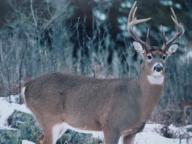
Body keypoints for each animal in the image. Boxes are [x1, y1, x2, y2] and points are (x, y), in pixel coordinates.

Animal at [22, 2, 184, 144]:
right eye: (148, 56)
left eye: (164, 57)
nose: (158, 67)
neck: (138, 99)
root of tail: (27, 86)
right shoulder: (111, 125)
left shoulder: (131, 132)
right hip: (49, 117)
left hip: (60, 124)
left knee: (40, 139)